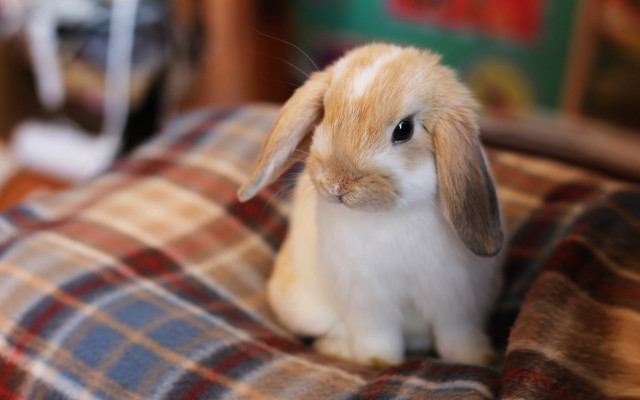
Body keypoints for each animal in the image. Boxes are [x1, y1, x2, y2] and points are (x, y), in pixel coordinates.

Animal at [237, 43, 504, 368]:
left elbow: (458, 334)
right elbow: (377, 334)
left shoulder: (456, 298)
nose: (337, 184)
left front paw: (477, 359)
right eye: (323, 113)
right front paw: (379, 363)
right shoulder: (368, 299)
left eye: (404, 129)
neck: (392, 215)